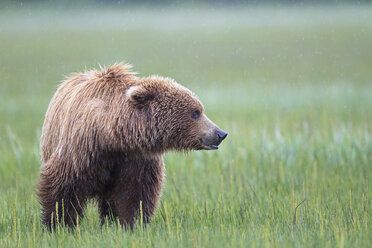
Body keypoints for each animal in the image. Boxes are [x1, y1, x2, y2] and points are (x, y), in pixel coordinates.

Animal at [39, 63, 228, 230]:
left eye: (200, 110)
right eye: (195, 112)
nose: (221, 133)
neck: (112, 137)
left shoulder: (136, 158)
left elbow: (135, 194)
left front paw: (130, 224)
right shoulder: (83, 150)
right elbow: (63, 186)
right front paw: (59, 225)